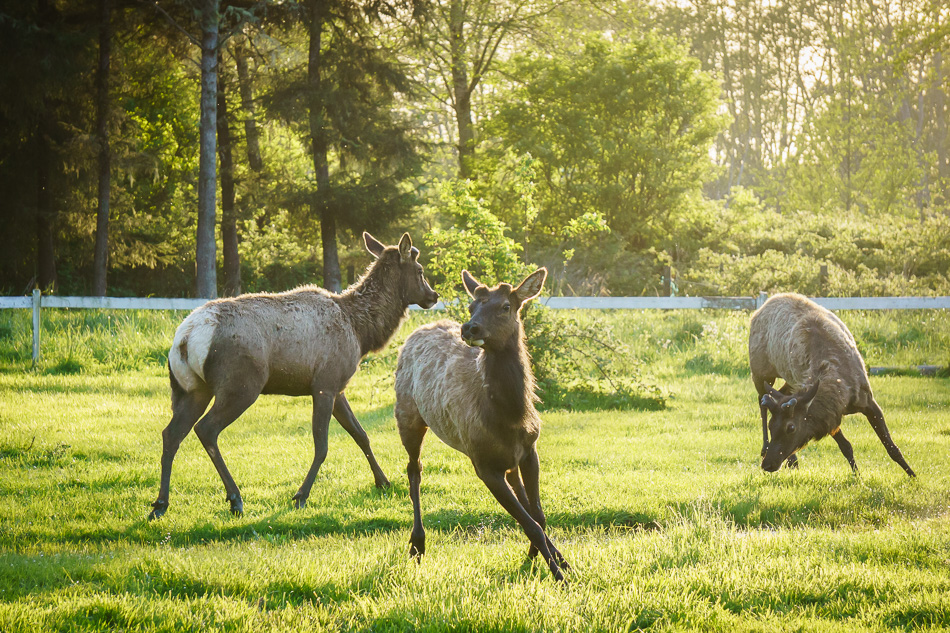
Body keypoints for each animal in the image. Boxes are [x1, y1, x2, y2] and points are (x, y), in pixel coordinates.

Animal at [147, 232, 439, 520]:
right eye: (420, 270)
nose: (434, 295)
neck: (361, 332)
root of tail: (186, 338)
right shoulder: (325, 383)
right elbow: (322, 445)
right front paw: (301, 495)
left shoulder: (338, 387)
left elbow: (361, 434)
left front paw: (383, 481)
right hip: (240, 385)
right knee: (206, 429)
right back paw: (235, 499)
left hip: (192, 389)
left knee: (171, 433)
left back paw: (160, 504)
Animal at [393, 268, 570, 582]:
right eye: (471, 306)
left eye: (506, 306)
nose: (469, 328)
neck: (510, 418)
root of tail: (419, 329)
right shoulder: (482, 462)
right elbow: (531, 523)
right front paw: (559, 576)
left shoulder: (530, 449)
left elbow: (538, 515)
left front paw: (554, 559)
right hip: (407, 414)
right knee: (414, 468)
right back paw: (417, 544)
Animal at [749, 293, 916, 477]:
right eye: (772, 426)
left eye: (791, 427)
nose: (767, 464)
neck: (844, 394)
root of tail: (762, 307)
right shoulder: (830, 416)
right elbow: (846, 446)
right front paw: (857, 476)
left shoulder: (868, 401)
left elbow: (892, 448)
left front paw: (912, 475)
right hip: (760, 371)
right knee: (762, 398)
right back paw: (772, 451)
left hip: (787, 380)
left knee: (775, 394)